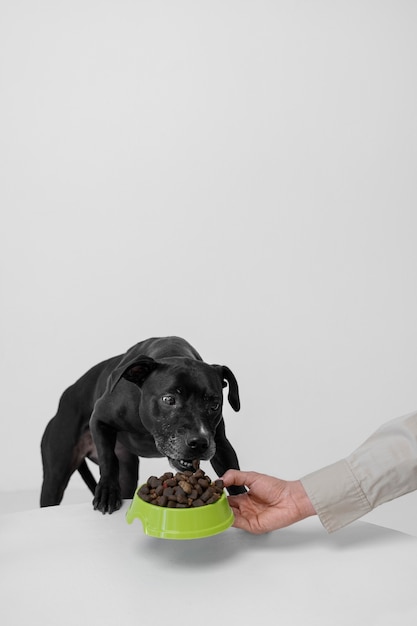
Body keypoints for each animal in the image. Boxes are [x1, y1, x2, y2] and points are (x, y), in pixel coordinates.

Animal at [39, 334, 244, 510]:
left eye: (214, 405)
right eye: (168, 399)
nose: (199, 443)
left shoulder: (220, 445)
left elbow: (233, 473)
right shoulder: (99, 418)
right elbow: (108, 458)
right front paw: (107, 491)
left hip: (128, 473)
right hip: (55, 477)